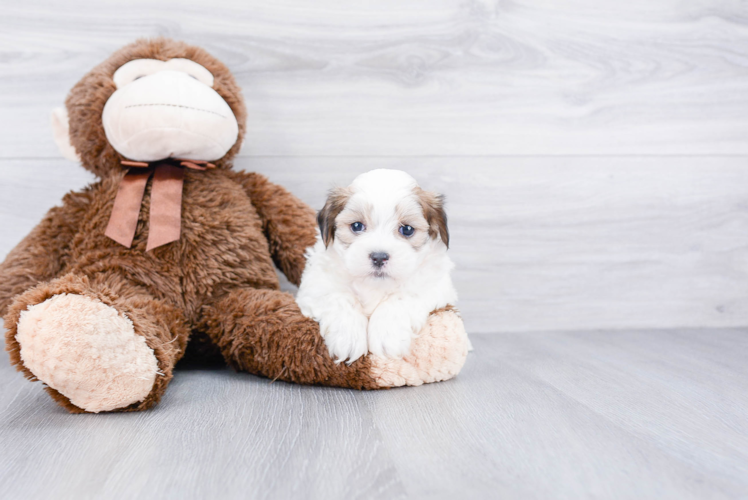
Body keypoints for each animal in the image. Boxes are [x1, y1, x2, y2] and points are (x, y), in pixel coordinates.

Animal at [296, 169, 458, 364]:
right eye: (357, 226)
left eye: (407, 229)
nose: (379, 257)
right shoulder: (317, 283)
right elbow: (340, 297)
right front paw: (347, 336)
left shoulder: (433, 285)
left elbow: (401, 297)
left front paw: (388, 335)